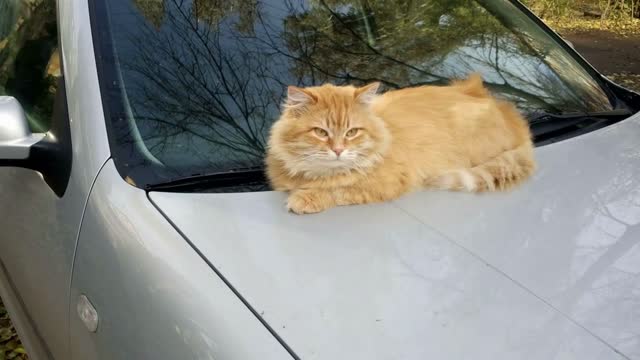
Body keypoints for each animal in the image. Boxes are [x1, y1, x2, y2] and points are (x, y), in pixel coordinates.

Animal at [264, 73, 536, 214]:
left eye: (352, 132)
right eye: (321, 132)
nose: (339, 150)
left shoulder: (388, 183)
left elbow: (340, 189)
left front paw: (305, 198)